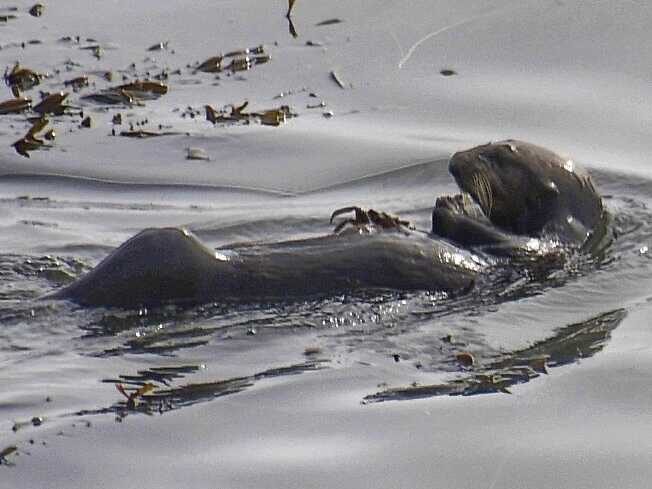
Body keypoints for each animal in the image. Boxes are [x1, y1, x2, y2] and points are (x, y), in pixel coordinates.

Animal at [47, 140, 609, 308]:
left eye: (500, 154)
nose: (454, 161)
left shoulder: (547, 251)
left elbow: (505, 245)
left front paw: (450, 207)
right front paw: (376, 216)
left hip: (175, 259)